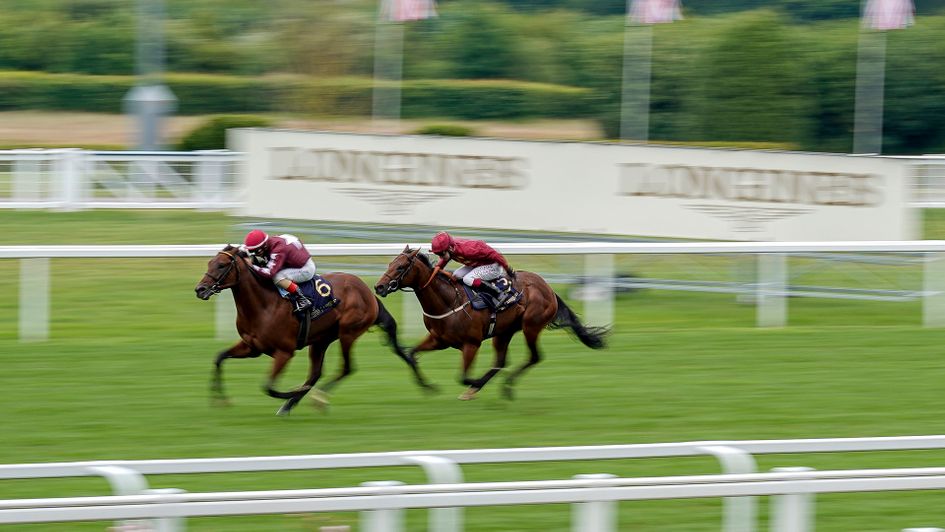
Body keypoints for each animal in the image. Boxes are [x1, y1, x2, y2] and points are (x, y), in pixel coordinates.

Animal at [199, 245, 436, 416]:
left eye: (221, 265)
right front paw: (220, 398)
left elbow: (268, 386)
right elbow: (219, 357)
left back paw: (314, 398)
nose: (199, 289)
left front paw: (290, 393)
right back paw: (292, 404)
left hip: (348, 332)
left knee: (346, 368)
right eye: (210, 262)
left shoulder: (284, 352)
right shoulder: (251, 347)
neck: (263, 304)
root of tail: (368, 291)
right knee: (315, 374)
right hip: (320, 340)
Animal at [372, 246, 608, 400]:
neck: (448, 301)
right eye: (390, 263)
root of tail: (548, 287)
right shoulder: (439, 340)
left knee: (534, 357)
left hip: (531, 326)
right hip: (504, 332)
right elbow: (412, 354)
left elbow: (463, 376)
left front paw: (474, 384)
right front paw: (428, 387)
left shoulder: (471, 343)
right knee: (501, 361)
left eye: (401, 266)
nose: (379, 287)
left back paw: (503, 387)